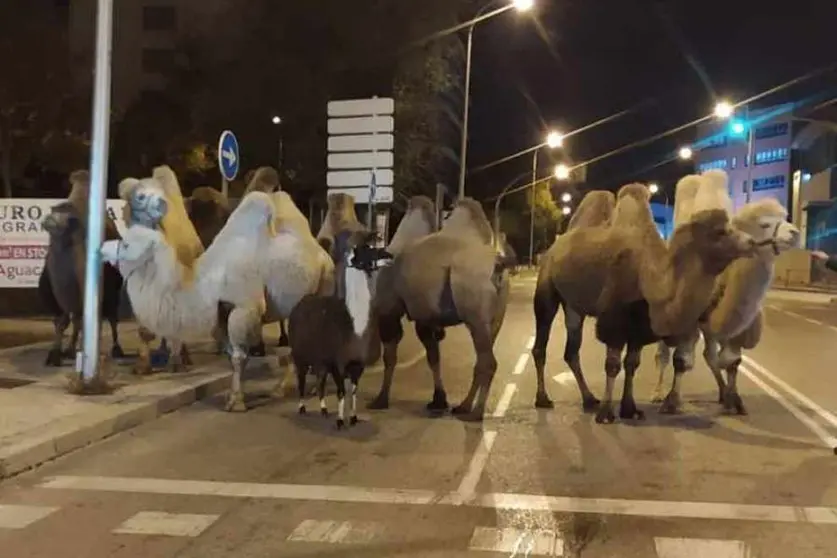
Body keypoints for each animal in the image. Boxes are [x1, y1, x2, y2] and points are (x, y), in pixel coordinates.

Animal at [39, 168, 124, 368]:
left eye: (67, 216)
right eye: (54, 209)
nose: (48, 220)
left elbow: (95, 319)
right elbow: (62, 320)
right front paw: (55, 355)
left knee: (110, 317)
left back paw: (115, 349)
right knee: (76, 318)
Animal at [368, 197, 510, 420]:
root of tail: (499, 265)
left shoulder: (388, 310)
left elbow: (390, 356)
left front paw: (380, 399)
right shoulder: (425, 317)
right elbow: (433, 355)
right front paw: (438, 401)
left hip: (475, 313)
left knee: (488, 361)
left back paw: (476, 413)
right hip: (495, 319)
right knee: (481, 359)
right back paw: (463, 406)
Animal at [528, 171, 756, 424]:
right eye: (719, 232)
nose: (752, 242)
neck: (650, 275)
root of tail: (553, 248)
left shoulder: (639, 322)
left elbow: (632, 364)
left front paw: (630, 409)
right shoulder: (614, 319)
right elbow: (613, 365)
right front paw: (606, 413)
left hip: (573, 305)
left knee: (571, 350)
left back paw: (588, 399)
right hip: (546, 288)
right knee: (541, 343)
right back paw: (543, 399)